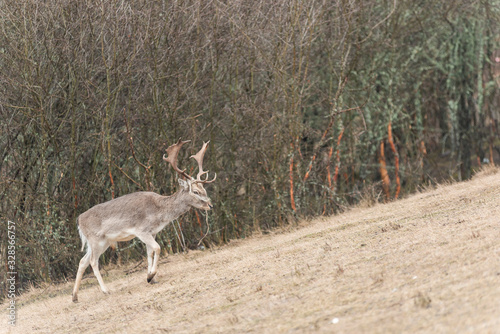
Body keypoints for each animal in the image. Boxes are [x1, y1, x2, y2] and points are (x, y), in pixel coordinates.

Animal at [71, 138, 216, 302]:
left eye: (204, 190)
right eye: (196, 191)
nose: (210, 205)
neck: (158, 213)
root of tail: (78, 220)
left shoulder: (152, 232)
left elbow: (150, 252)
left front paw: (150, 278)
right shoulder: (141, 230)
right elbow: (158, 248)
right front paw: (151, 275)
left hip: (102, 242)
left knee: (82, 261)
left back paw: (74, 297)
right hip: (96, 239)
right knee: (92, 261)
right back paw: (105, 290)